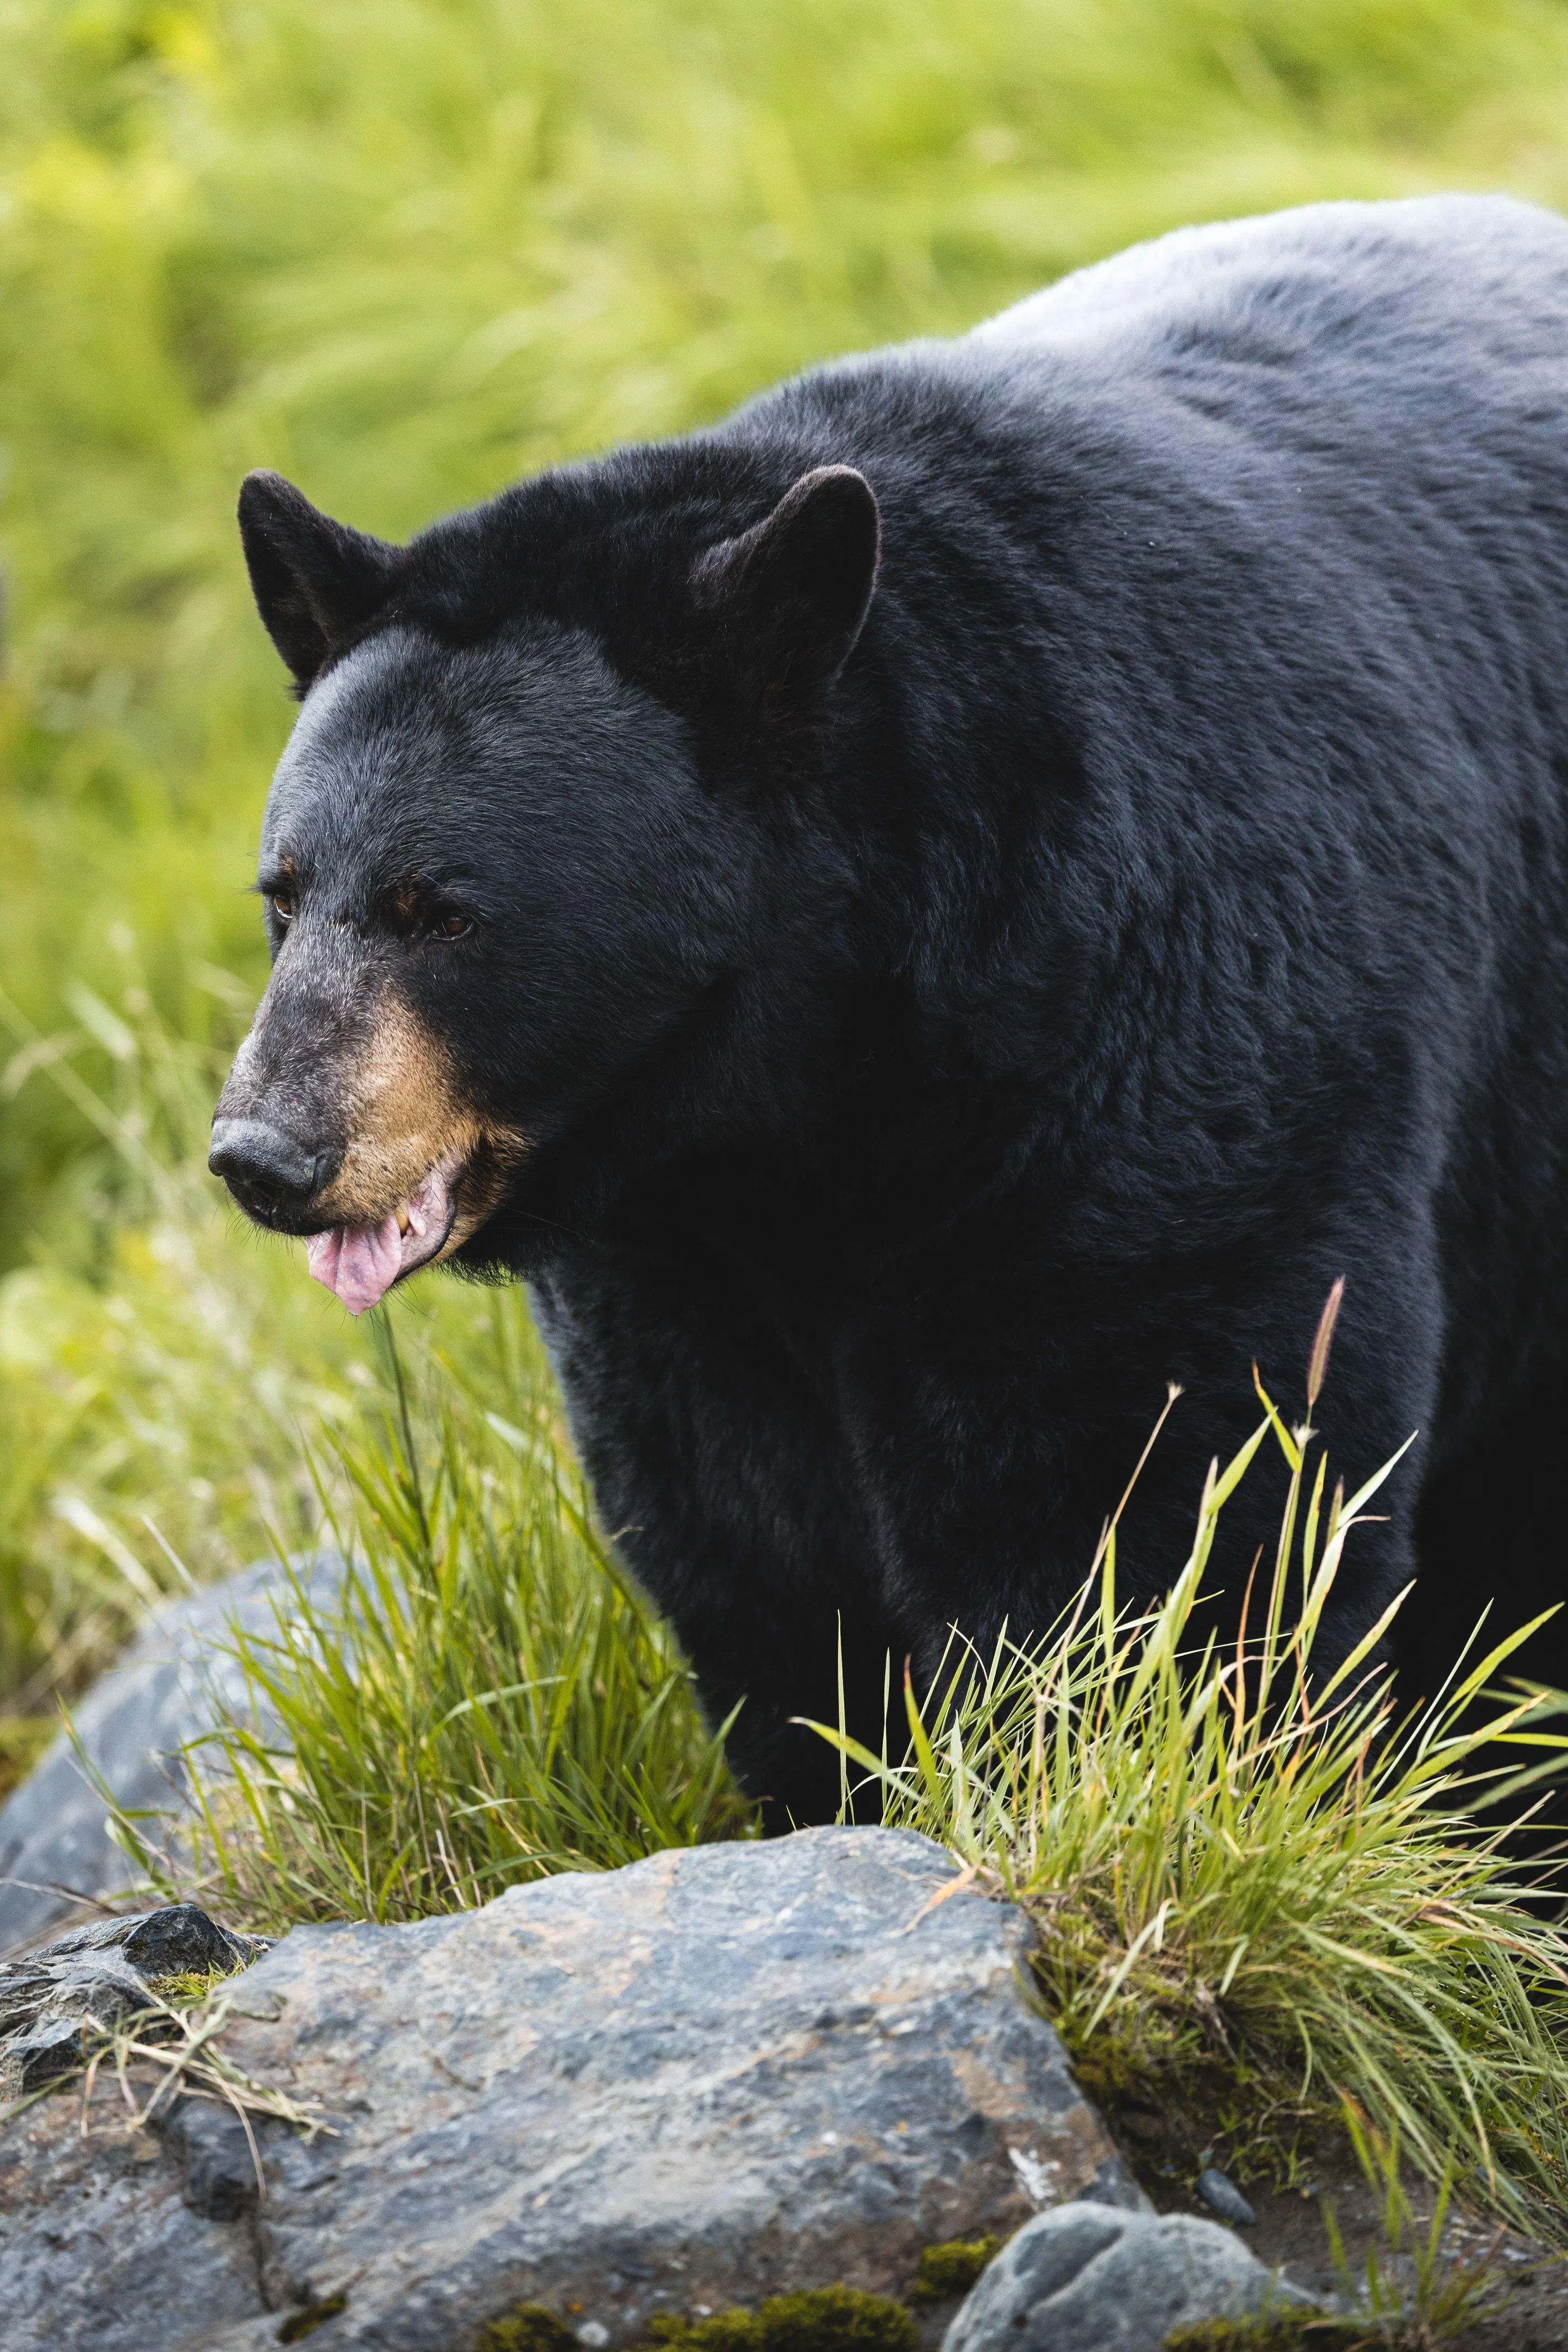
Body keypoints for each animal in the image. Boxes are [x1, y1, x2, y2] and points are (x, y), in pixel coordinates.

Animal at [211, 194, 1568, 1830]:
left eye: (445, 909)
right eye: (285, 893)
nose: (265, 1154)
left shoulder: (1163, 1055)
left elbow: (1167, 1476)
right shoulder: (673, 1268)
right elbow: (745, 1540)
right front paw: (841, 1783)